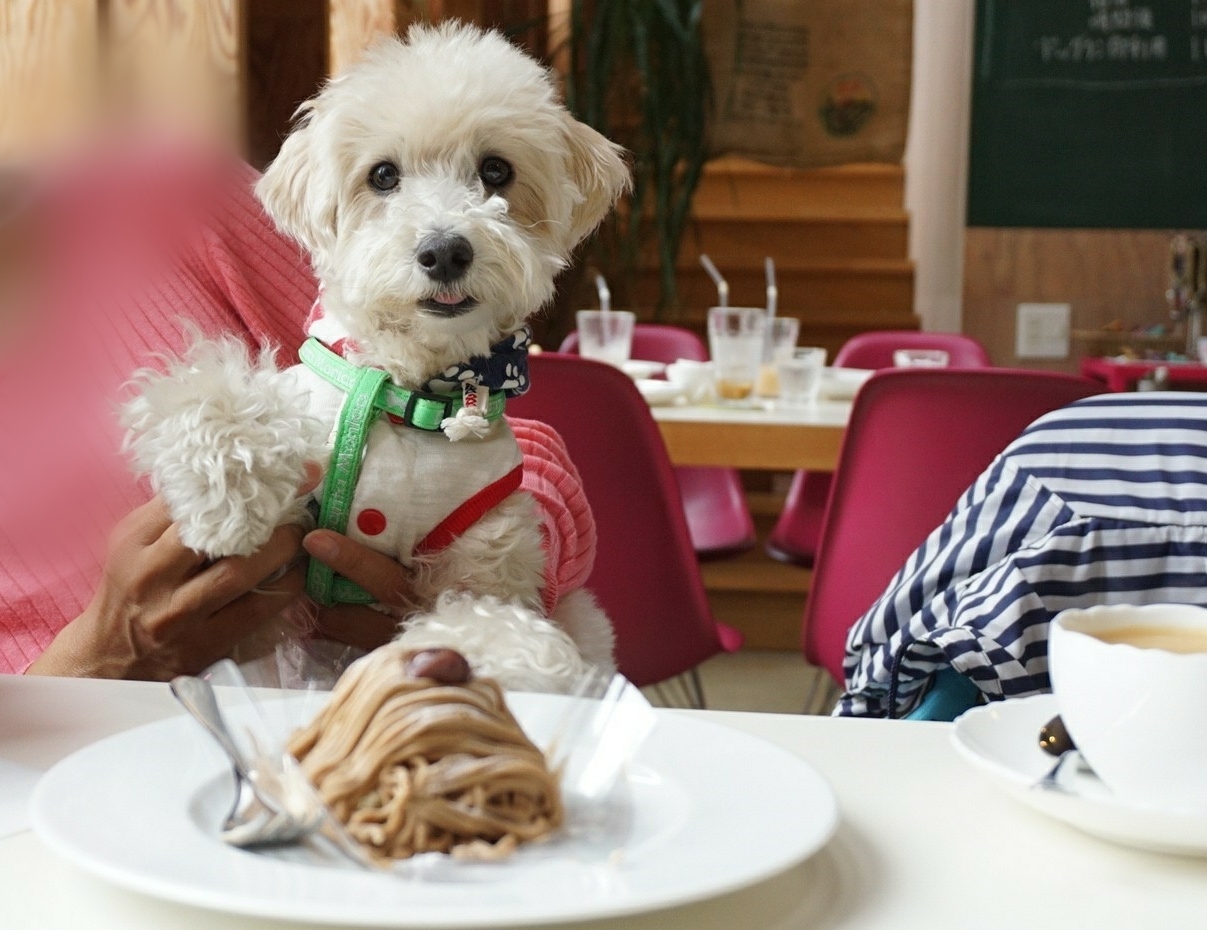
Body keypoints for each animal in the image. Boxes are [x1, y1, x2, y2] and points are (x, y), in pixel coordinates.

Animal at [122, 21, 632, 694]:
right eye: (384, 175)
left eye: (496, 170)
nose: (445, 251)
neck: (407, 394)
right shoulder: (272, 585)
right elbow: (211, 393)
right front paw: (229, 503)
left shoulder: (490, 547)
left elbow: (489, 615)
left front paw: (484, 665)